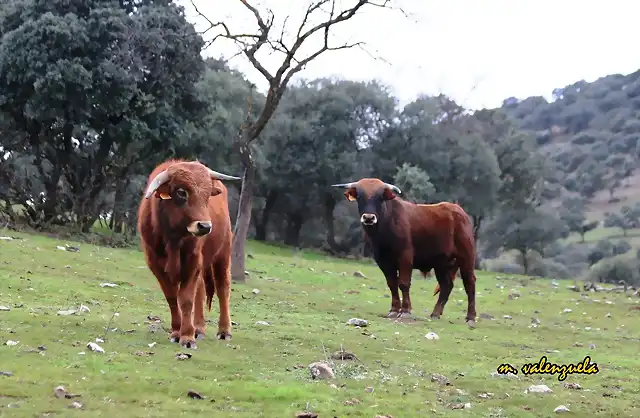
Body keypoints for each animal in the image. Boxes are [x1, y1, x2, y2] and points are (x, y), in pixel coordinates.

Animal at [139, 158, 241, 348]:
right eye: (181, 192)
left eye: (208, 194)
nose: (205, 226)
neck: (172, 238)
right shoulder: (156, 265)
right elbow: (172, 298)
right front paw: (176, 332)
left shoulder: (192, 261)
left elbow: (186, 299)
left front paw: (187, 336)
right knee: (200, 290)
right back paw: (199, 328)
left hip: (223, 254)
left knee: (223, 288)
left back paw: (224, 331)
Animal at [332, 178, 478, 324]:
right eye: (360, 196)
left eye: (380, 198)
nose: (368, 218)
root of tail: (459, 212)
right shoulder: (383, 261)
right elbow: (392, 284)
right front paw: (394, 310)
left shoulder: (405, 257)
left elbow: (403, 283)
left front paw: (405, 311)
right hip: (441, 264)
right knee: (446, 285)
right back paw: (435, 313)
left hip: (466, 258)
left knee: (469, 283)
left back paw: (470, 317)